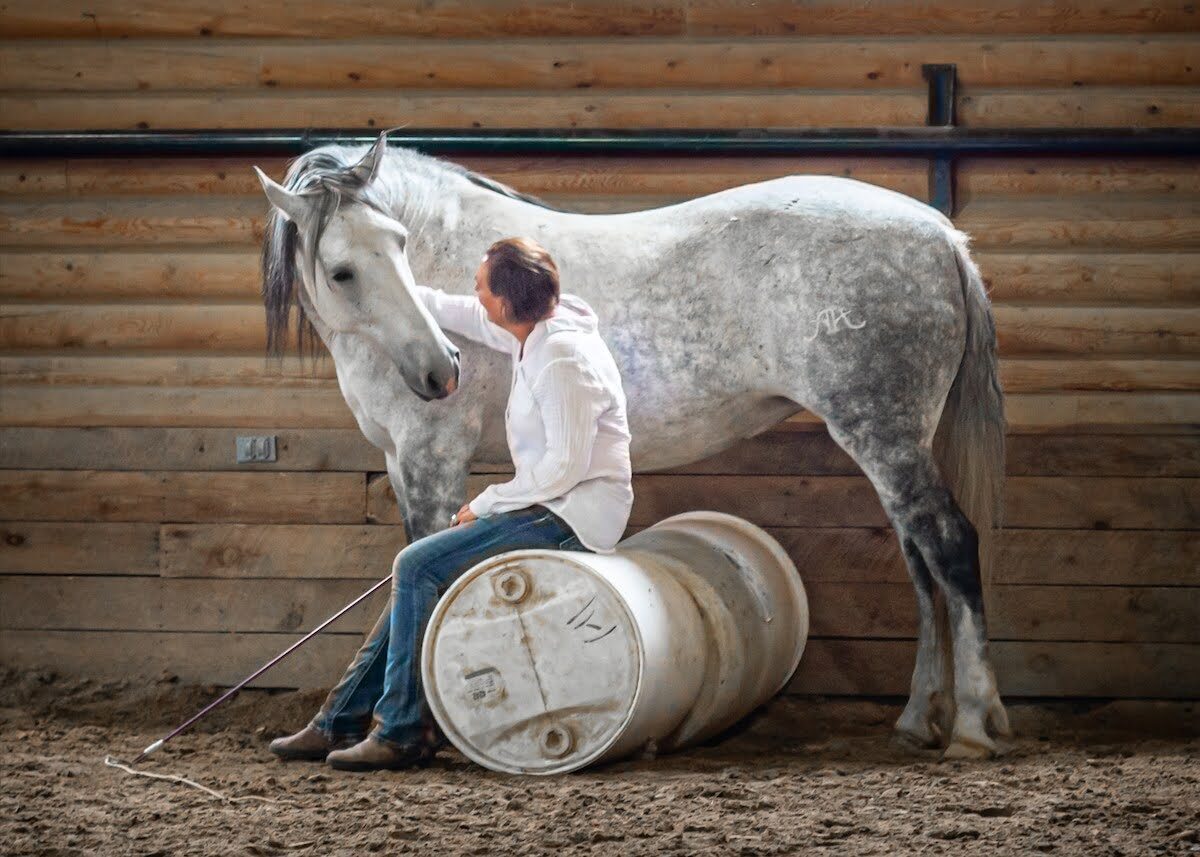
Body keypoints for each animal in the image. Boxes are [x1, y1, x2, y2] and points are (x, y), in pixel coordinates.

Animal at [255, 130, 1011, 759]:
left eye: (399, 242)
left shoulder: (430, 457)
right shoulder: (399, 458)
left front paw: (398, 733)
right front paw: (325, 728)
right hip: (896, 439)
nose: (443, 370)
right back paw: (917, 718)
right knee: (920, 562)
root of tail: (942, 235)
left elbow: (408, 576)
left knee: (949, 545)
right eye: (344, 269)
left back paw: (974, 725)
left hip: (882, 432)